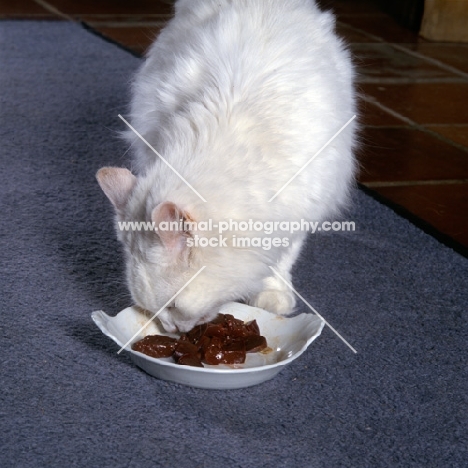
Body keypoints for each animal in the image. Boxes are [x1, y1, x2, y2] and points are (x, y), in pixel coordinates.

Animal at [97, 0, 356, 332]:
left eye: (172, 307)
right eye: (152, 311)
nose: (172, 331)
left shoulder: (302, 209)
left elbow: (282, 259)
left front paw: (273, 293)